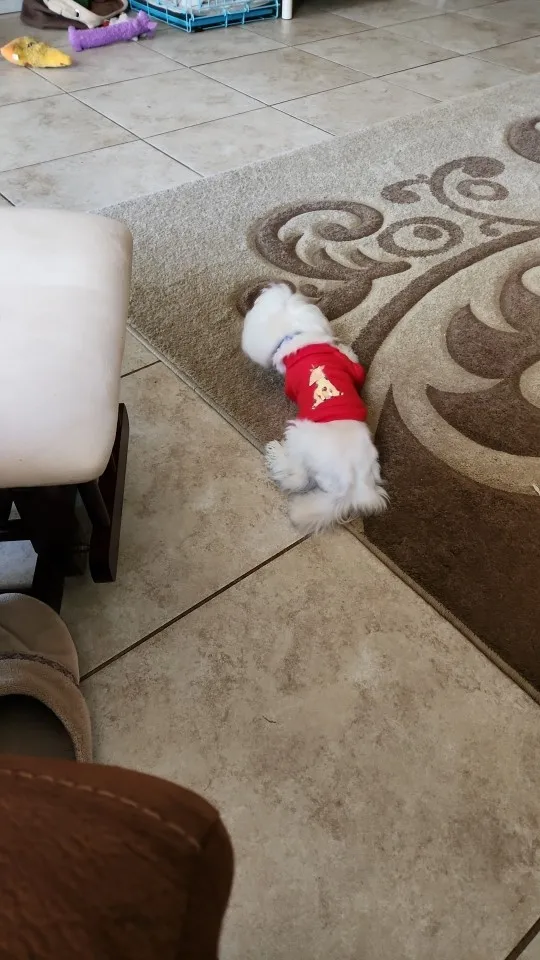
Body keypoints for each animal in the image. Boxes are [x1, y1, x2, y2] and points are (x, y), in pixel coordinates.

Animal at [242, 283, 388, 534]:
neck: (299, 337)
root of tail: (351, 486)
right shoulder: (353, 369)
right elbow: (353, 361)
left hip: (299, 432)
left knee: (298, 478)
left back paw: (276, 455)